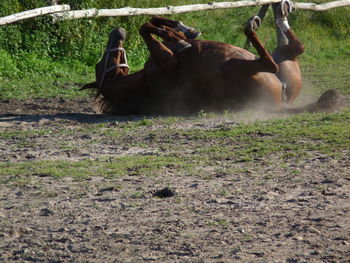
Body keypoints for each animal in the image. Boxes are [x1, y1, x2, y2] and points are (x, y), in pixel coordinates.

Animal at [81, 0, 342, 115]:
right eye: (102, 63)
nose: (117, 32)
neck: (143, 84)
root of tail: (281, 102)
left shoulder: (167, 54)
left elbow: (153, 23)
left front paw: (186, 29)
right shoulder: (167, 60)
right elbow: (146, 28)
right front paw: (183, 37)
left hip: (285, 67)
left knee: (293, 48)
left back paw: (280, 9)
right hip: (242, 66)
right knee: (275, 59)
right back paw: (254, 24)